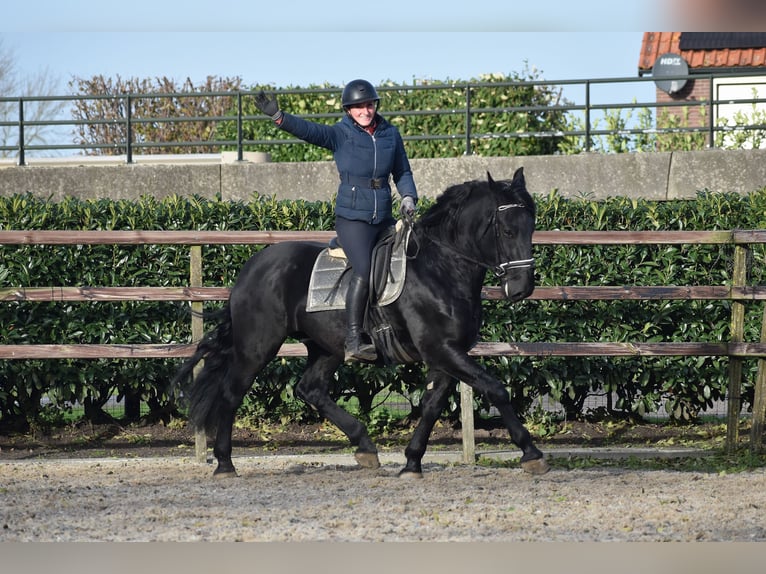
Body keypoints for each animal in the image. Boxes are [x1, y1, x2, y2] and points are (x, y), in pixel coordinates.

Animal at [178, 169, 552, 480]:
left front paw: (411, 462)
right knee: (232, 393)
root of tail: (252, 267)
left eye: (532, 227)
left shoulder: (447, 354)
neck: (441, 268)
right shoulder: (443, 350)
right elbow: (495, 389)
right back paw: (225, 464)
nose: (522, 288)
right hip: (256, 347)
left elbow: (432, 405)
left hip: (327, 347)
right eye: (507, 230)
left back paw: (365, 446)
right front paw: (531, 453)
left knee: (310, 389)